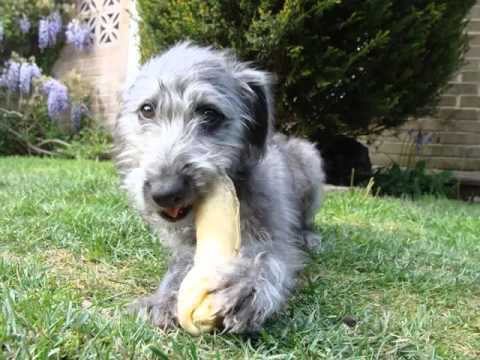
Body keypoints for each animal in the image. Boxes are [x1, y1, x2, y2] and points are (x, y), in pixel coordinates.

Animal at [114, 43, 324, 334]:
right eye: (147, 109)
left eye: (209, 113)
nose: (165, 192)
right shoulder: (184, 246)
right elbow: (180, 265)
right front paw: (165, 296)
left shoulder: (275, 237)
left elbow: (269, 257)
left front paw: (244, 285)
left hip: (310, 162)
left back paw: (308, 235)